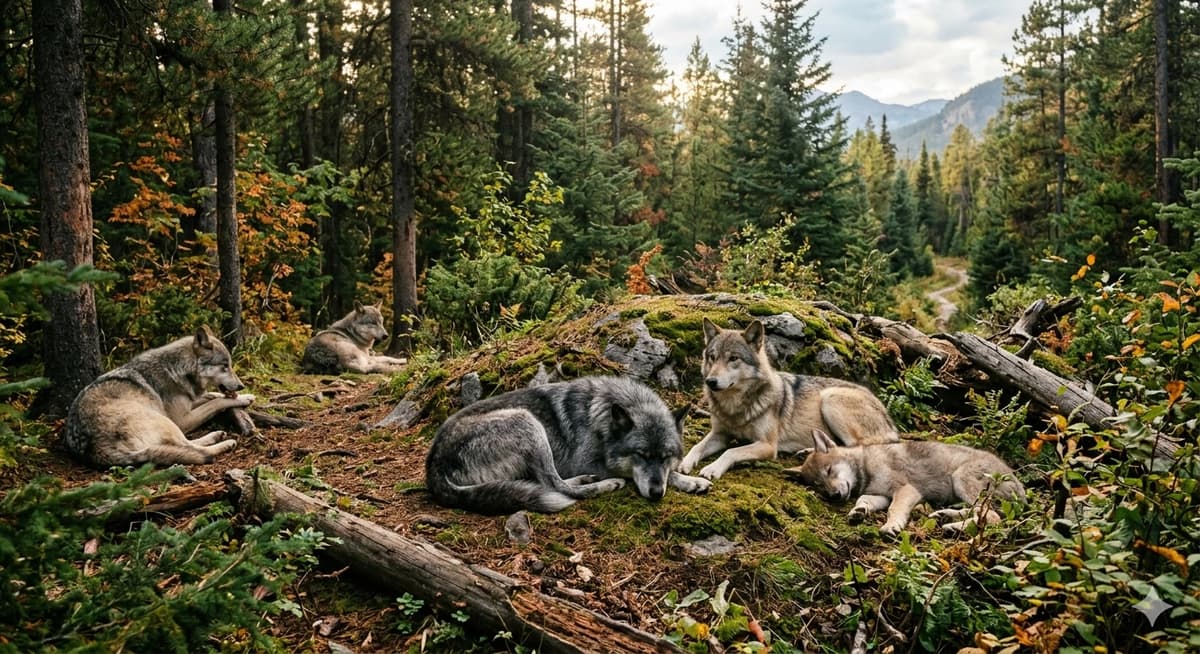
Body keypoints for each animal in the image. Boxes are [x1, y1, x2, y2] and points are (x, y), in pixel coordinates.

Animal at [63, 326, 254, 467]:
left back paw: (218, 436)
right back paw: (225, 442)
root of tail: (95, 448)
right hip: (165, 421)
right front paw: (241, 399)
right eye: (225, 366)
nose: (241, 386)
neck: (179, 369)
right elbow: (217, 401)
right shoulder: (182, 419)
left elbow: (210, 396)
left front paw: (247, 395)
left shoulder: (189, 403)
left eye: (230, 365)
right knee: (190, 447)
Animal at [424, 376, 712, 514]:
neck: (602, 418)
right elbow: (631, 473)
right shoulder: (585, 461)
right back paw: (604, 484)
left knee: (550, 482)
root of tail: (433, 466)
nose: (656, 493)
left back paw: (586, 479)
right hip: (527, 422)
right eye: (641, 455)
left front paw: (691, 481)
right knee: (557, 486)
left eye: (665, 457)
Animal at [679, 318, 899, 481]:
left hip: (830, 399)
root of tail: (888, 417)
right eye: (712, 357)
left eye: (733, 358)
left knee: (856, 447)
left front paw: (712, 469)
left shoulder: (767, 445)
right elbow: (697, 446)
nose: (711, 381)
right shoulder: (720, 434)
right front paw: (683, 463)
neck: (735, 407)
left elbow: (731, 452)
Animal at [785, 429, 1025, 535]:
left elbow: (894, 509)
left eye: (829, 470)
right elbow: (864, 500)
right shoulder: (880, 494)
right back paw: (945, 516)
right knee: (980, 512)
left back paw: (953, 526)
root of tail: (1020, 487)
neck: (866, 466)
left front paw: (891, 526)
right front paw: (859, 512)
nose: (834, 496)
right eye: (818, 485)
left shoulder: (905, 490)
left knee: (992, 517)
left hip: (961, 479)